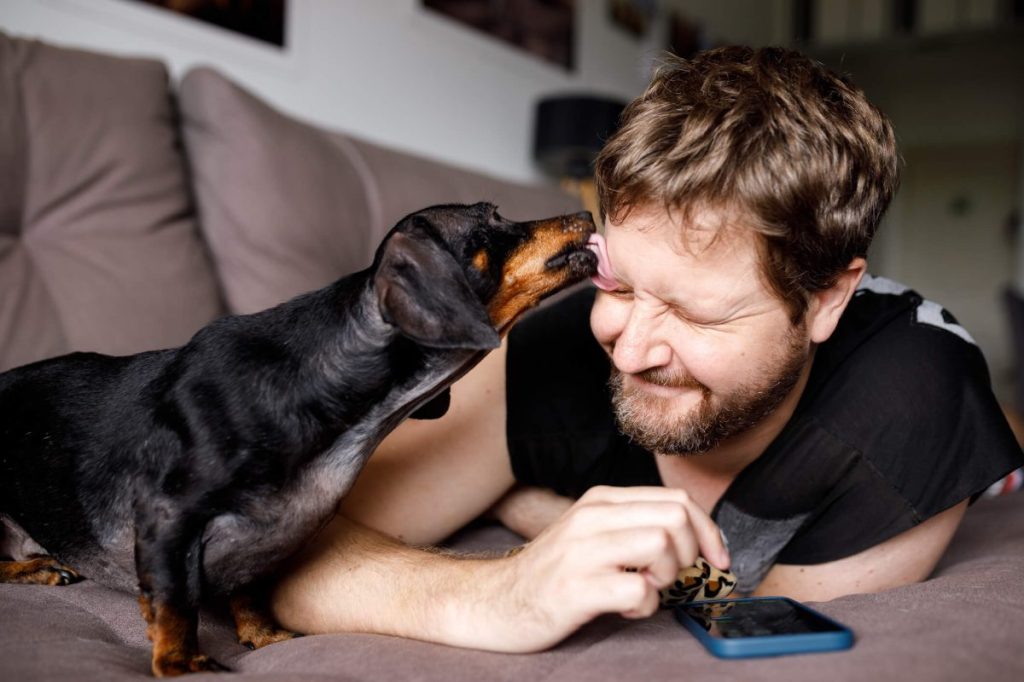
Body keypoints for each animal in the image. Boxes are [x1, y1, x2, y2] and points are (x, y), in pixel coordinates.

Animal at [0, 200, 598, 667]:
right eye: (491, 219)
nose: (588, 213)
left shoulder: (260, 543)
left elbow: (248, 594)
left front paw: (264, 638)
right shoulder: (166, 516)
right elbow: (175, 608)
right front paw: (183, 664)